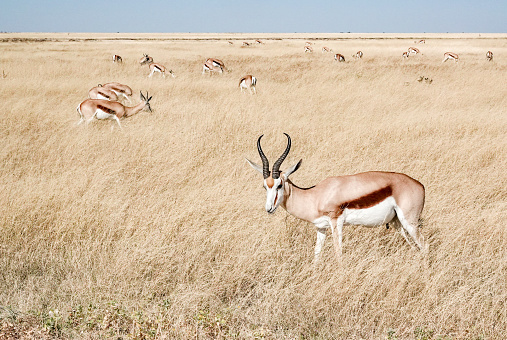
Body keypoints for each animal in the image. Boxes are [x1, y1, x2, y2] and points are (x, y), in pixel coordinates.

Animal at [248, 133, 426, 260]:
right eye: (265, 186)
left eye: (279, 185)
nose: (269, 208)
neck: (315, 195)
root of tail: (419, 185)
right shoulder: (321, 227)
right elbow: (317, 254)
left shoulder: (336, 222)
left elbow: (338, 252)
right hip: (397, 224)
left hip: (409, 222)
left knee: (425, 245)